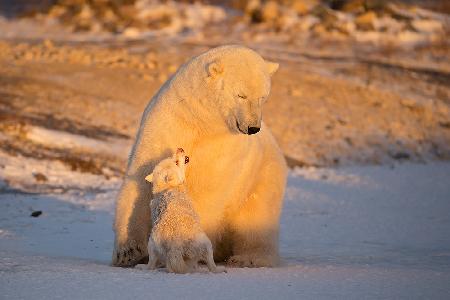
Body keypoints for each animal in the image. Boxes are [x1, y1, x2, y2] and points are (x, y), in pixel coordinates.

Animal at [113, 44, 288, 268]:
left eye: (263, 97)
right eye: (241, 95)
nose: (253, 128)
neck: (200, 119)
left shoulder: (224, 148)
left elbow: (209, 192)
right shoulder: (167, 124)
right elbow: (141, 182)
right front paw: (128, 252)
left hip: (262, 174)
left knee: (257, 216)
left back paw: (248, 258)